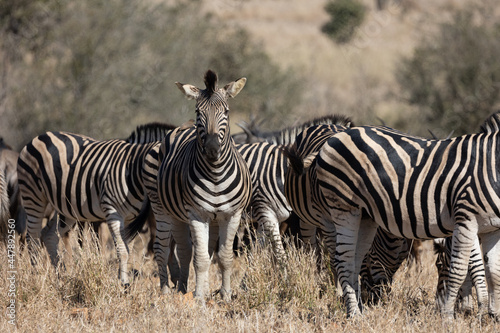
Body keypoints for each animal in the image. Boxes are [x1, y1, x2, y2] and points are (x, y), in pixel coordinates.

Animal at [17, 131, 158, 284]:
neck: (132, 171)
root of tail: (40, 137)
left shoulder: (130, 218)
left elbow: (127, 248)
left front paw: (123, 280)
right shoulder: (113, 212)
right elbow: (122, 250)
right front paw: (123, 284)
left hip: (66, 208)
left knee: (49, 236)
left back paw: (61, 277)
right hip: (32, 196)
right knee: (32, 238)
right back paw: (35, 276)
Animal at [143, 69, 252, 298]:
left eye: (226, 112)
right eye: (198, 112)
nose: (212, 148)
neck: (215, 174)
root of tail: (181, 126)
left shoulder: (232, 214)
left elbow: (223, 256)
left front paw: (225, 295)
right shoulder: (197, 213)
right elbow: (200, 259)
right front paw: (200, 297)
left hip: (188, 216)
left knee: (185, 249)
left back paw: (183, 287)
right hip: (162, 208)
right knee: (163, 248)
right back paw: (166, 291)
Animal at [314, 119, 500, 316]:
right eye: (438, 265)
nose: (438, 304)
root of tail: (338, 134)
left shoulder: (491, 228)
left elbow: (493, 271)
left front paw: (491, 315)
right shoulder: (465, 218)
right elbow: (459, 270)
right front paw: (448, 316)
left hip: (365, 216)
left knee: (357, 259)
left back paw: (360, 309)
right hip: (343, 208)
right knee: (344, 260)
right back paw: (354, 315)